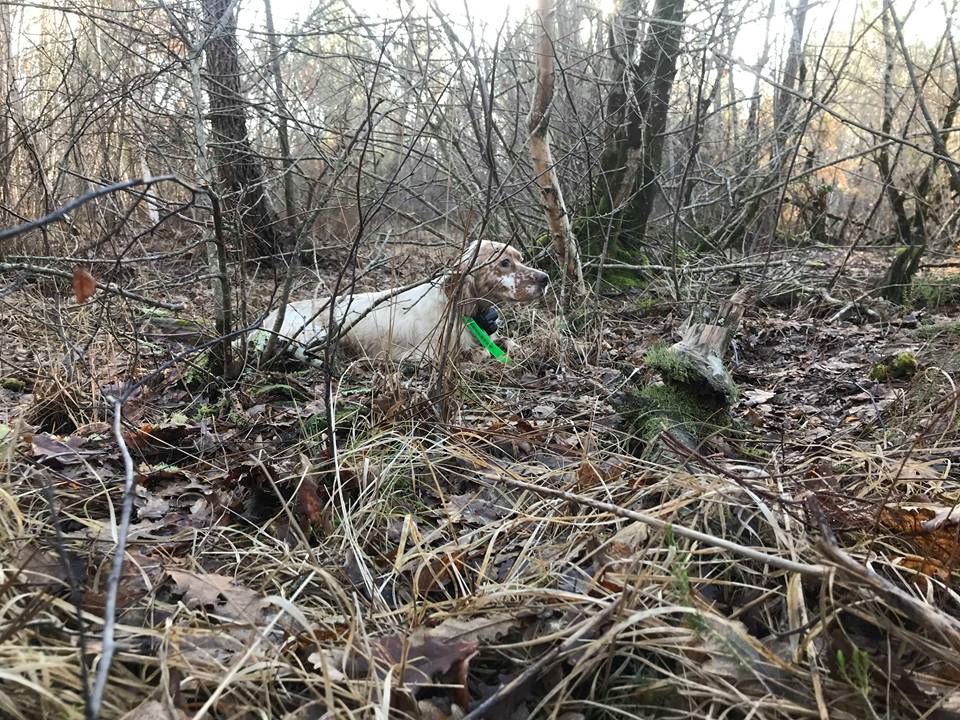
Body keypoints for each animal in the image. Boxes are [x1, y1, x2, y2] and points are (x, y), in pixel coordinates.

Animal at [248, 242, 548, 366]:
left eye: (520, 258)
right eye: (504, 263)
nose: (545, 278)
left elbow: (510, 343)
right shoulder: (425, 353)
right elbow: (479, 353)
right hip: (311, 334)